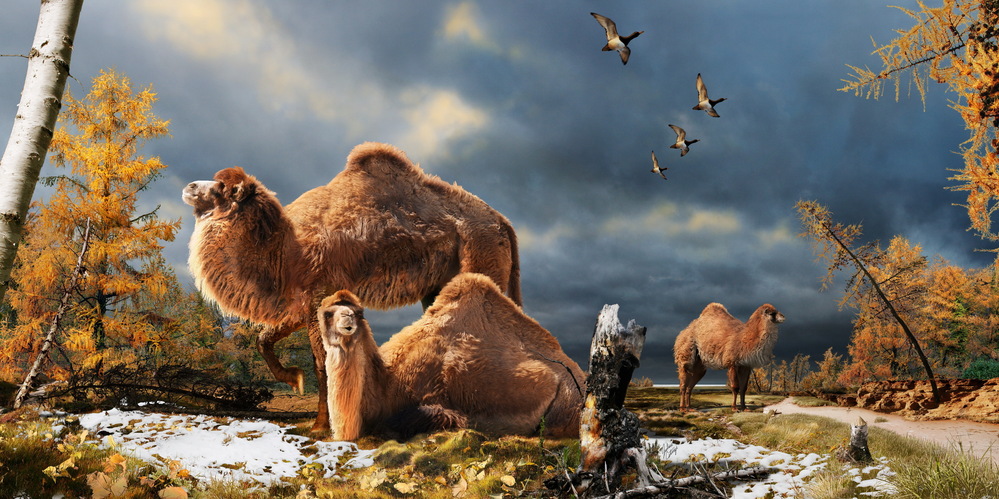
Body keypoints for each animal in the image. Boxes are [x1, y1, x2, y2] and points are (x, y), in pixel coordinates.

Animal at [182, 142, 521, 433]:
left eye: (221, 188)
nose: (189, 186)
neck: (285, 251)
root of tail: (503, 223)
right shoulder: (304, 303)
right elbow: (263, 339)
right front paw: (294, 379)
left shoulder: (319, 291)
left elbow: (321, 363)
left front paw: (322, 426)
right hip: (438, 287)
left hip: (481, 257)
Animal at [319, 273, 586, 441]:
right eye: (327, 313)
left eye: (359, 312)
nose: (348, 321)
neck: (387, 381)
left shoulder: (436, 405)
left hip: (568, 406)